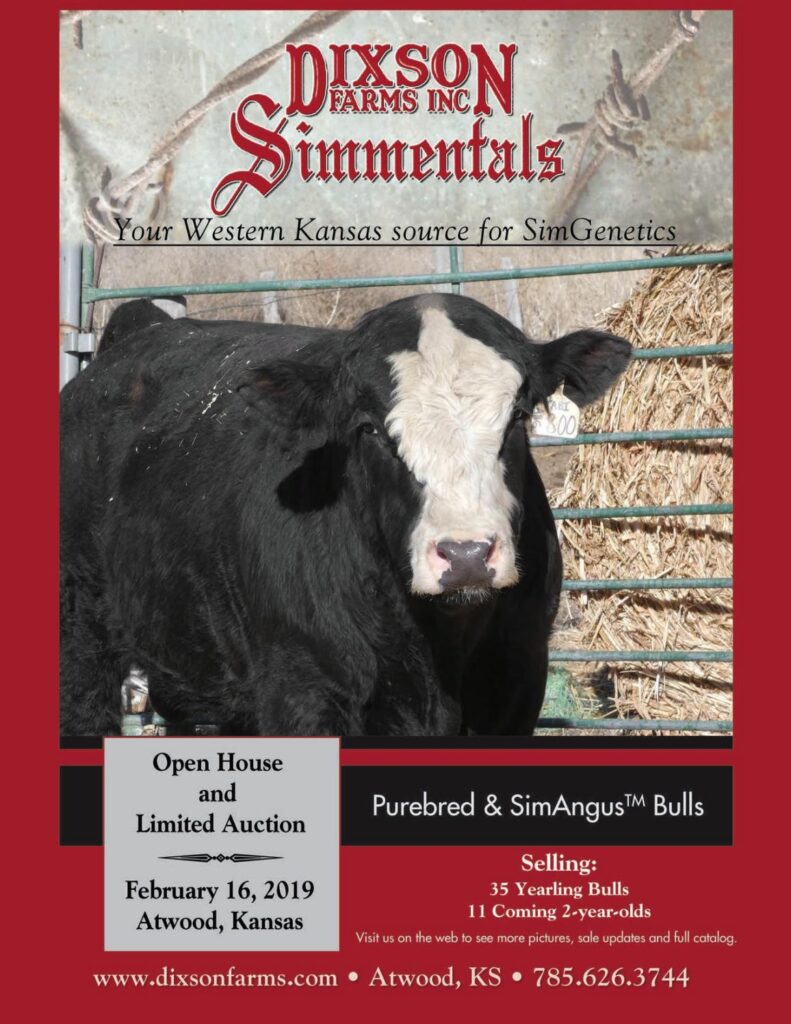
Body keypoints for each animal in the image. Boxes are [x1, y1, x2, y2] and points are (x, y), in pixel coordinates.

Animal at [60, 292, 631, 737]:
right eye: (369, 428)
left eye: (517, 416)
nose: (466, 554)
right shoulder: (303, 689)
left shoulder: (518, 680)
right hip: (79, 638)